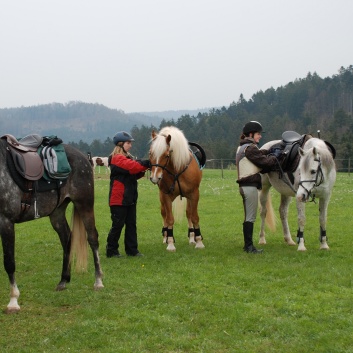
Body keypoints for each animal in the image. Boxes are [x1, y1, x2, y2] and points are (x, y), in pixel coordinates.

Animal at [0, 136, 103, 312]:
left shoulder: (6, 221)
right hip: (57, 212)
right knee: (67, 238)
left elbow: (9, 262)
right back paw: (63, 280)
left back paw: (98, 281)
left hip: (84, 204)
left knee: (92, 238)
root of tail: (84, 156)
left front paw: (13, 301)